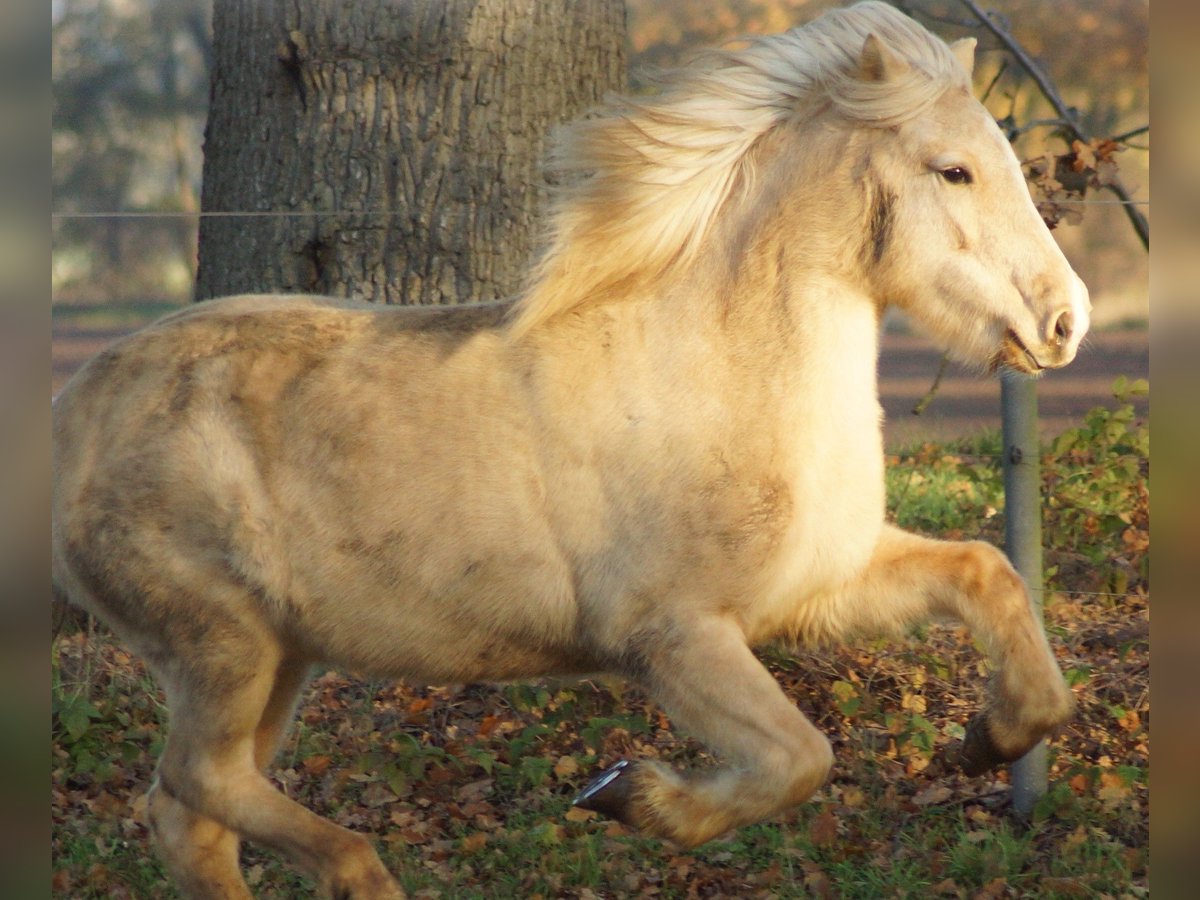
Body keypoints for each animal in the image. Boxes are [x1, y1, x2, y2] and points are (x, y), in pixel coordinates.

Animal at [52, 3, 1090, 897]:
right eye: (953, 171)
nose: (1065, 322)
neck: (708, 376)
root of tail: (74, 406)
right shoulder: (673, 638)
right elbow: (799, 758)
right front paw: (629, 795)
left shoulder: (816, 591)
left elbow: (988, 571)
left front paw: (990, 741)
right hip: (220, 645)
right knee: (198, 782)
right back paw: (364, 872)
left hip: (282, 658)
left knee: (190, 814)